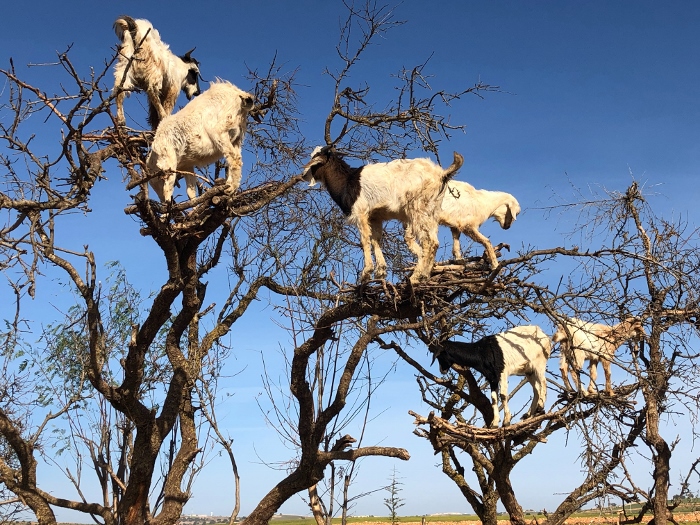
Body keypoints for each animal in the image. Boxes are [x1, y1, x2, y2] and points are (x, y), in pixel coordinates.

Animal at [304, 145, 462, 284]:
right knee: (434, 241)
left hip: (418, 210)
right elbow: (376, 240)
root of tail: (440, 174)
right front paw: (380, 272)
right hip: (431, 213)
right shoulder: (375, 217)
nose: (304, 176)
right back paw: (425, 275)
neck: (347, 181)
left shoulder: (361, 212)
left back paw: (416, 277)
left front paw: (366, 273)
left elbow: (365, 239)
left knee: (429, 242)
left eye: (316, 159)